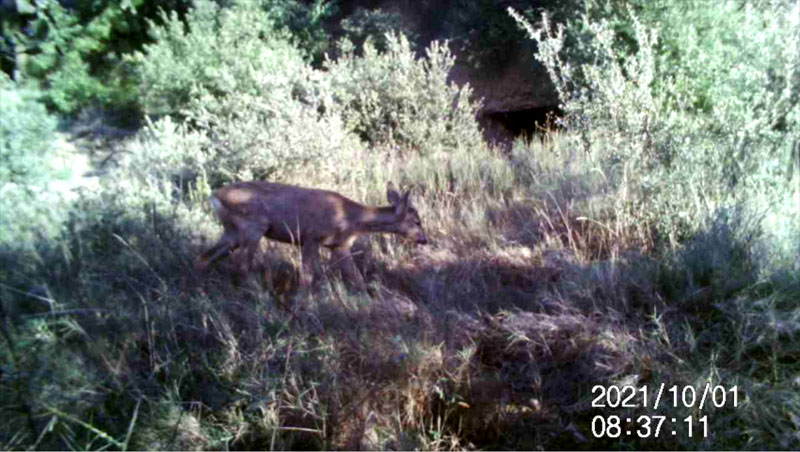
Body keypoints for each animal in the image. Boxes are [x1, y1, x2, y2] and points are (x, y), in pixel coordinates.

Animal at [195, 181, 428, 290]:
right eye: (417, 221)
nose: (424, 240)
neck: (351, 218)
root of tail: (214, 196)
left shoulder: (339, 245)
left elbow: (356, 278)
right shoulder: (311, 237)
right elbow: (307, 277)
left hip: (232, 232)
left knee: (204, 257)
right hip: (253, 227)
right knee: (242, 266)